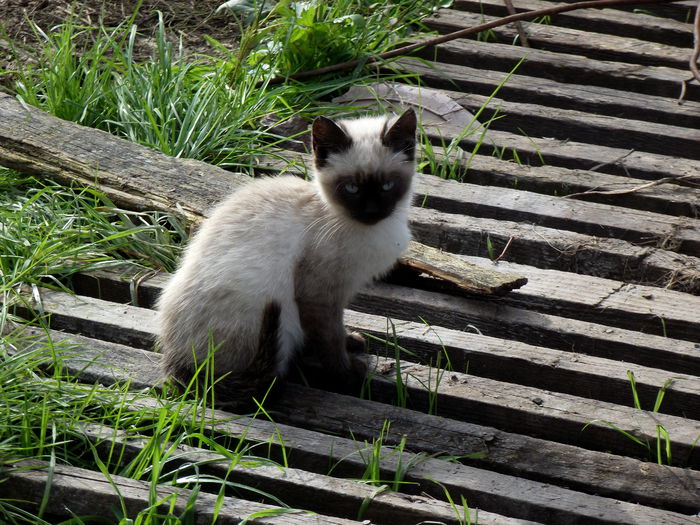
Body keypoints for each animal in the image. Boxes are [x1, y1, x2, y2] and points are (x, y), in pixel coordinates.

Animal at [157, 108, 416, 408]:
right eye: (351, 189)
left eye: (387, 186)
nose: (372, 212)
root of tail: (174, 364)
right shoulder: (318, 295)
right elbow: (330, 341)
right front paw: (348, 375)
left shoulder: (337, 295)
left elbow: (338, 330)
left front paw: (352, 342)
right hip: (273, 314)